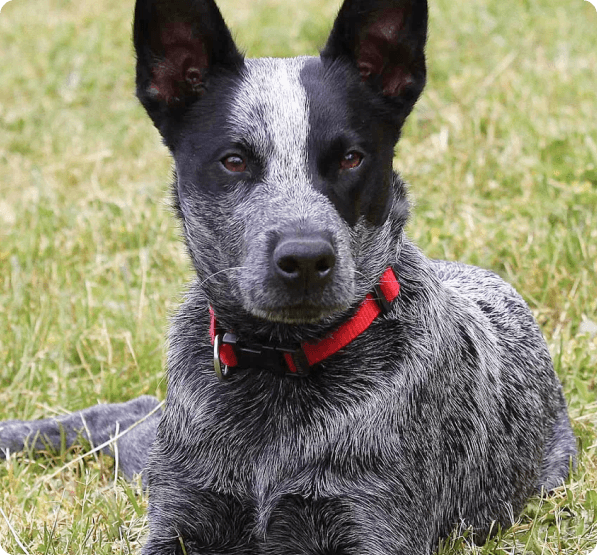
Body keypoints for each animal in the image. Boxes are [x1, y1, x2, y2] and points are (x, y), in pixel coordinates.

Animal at [1, 0, 576, 552]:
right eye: (234, 160)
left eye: (350, 158)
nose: (304, 259)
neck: (278, 366)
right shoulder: (181, 518)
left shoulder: (370, 521)